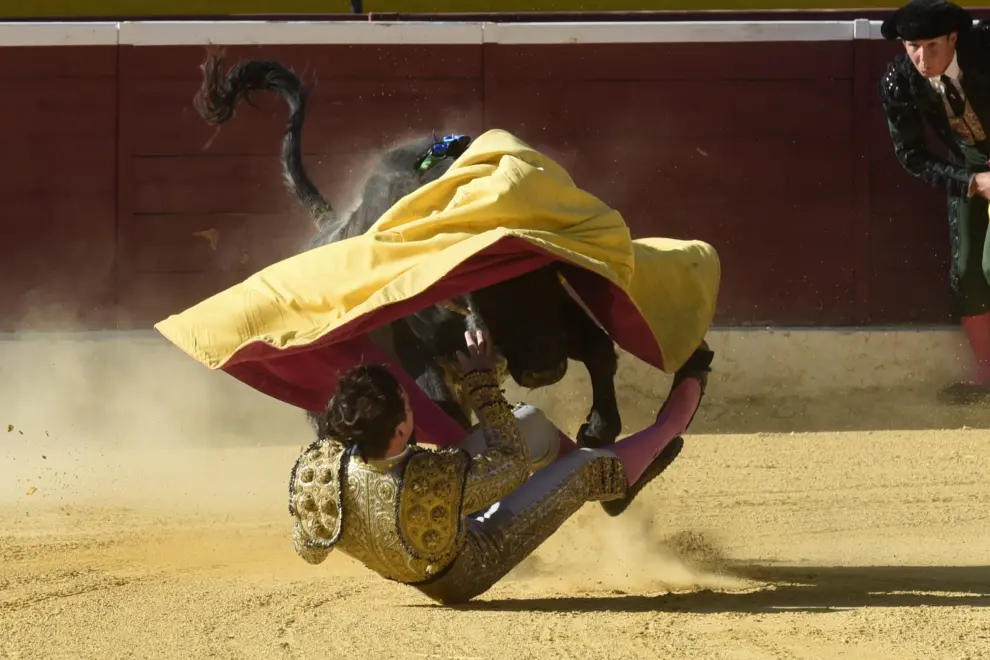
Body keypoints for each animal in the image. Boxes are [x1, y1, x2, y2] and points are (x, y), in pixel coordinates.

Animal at [193, 49, 624, 446]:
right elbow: (444, 414)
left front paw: (598, 430)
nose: (545, 369)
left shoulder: (557, 308)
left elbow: (599, 347)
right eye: (482, 284)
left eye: (547, 269)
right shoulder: (413, 349)